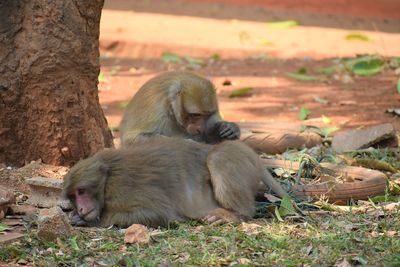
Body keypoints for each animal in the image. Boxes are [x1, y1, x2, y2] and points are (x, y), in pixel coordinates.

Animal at [61, 138, 288, 228]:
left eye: (82, 191)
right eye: (73, 196)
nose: (81, 208)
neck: (108, 175)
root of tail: (255, 158)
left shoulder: (122, 188)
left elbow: (158, 213)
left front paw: (89, 221)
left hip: (236, 155)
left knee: (219, 158)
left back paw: (234, 214)